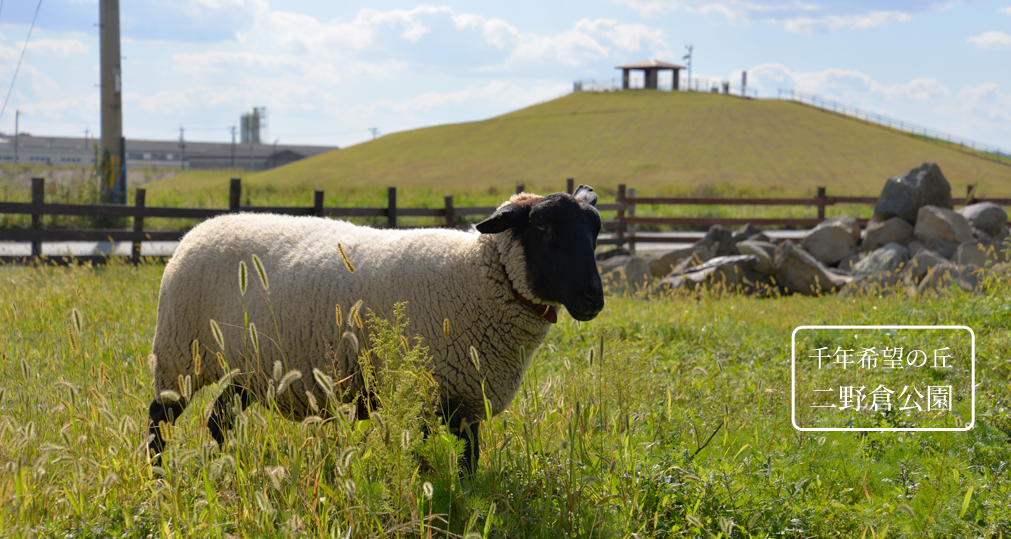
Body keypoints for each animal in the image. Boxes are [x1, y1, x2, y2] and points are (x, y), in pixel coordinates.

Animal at [146, 185, 602, 471]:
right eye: (542, 227)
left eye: (595, 229)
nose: (592, 298)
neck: (477, 275)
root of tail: (200, 228)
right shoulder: (421, 392)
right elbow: (425, 461)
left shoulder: (467, 399)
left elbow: (468, 462)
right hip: (179, 353)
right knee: (159, 421)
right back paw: (160, 477)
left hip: (248, 367)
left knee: (218, 419)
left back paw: (228, 467)